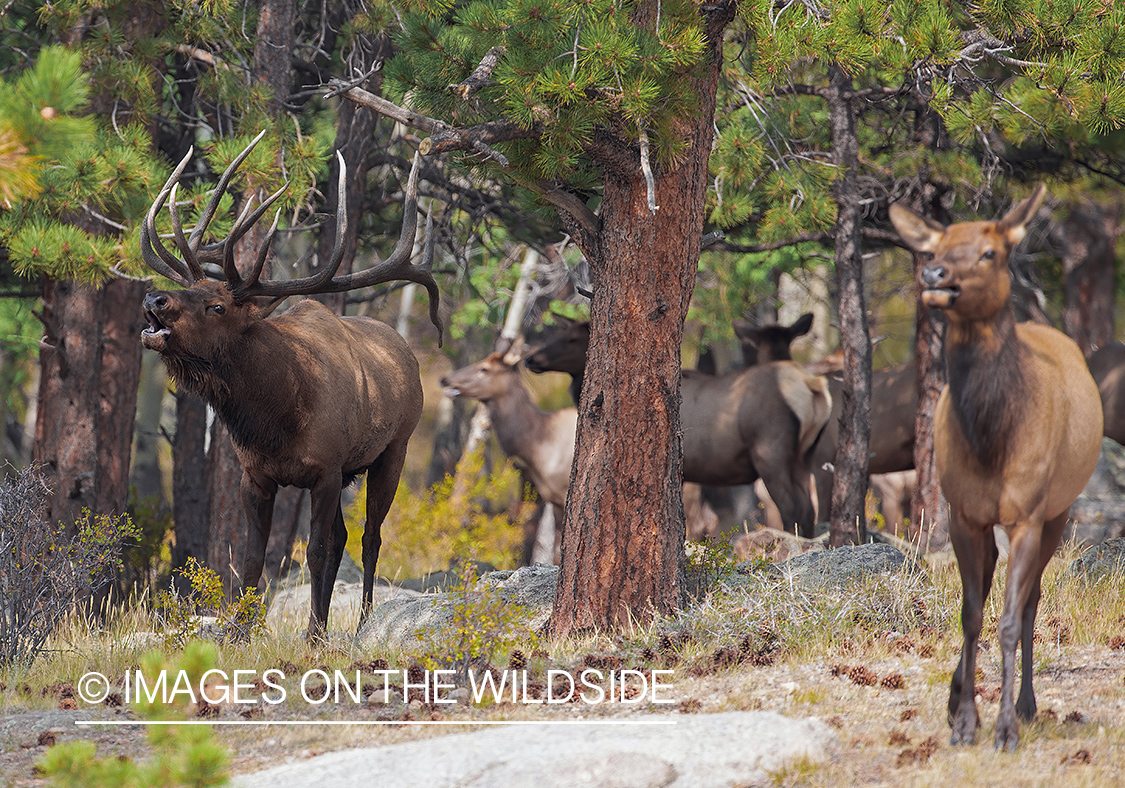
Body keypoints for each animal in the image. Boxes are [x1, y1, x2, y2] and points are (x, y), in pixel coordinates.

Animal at [138, 133, 441, 639]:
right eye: (191, 289)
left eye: (218, 305)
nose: (154, 298)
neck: (276, 418)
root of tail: (409, 355)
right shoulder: (257, 475)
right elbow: (251, 560)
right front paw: (241, 631)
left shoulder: (325, 469)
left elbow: (314, 552)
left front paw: (314, 635)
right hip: (350, 471)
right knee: (343, 537)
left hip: (392, 451)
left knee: (369, 537)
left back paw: (360, 622)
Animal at [891, 185, 1102, 751]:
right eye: (935, 246)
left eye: (989, 251)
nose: (934, 275)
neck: (992, 439)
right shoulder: (963, 513)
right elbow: (969, 614)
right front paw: (965, 721)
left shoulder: (1027, 512)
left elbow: (1009, 618)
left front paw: (1004, 728)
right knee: (987, 588)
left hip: (1059, 511)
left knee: (1029, 603)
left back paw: (1026, 706)